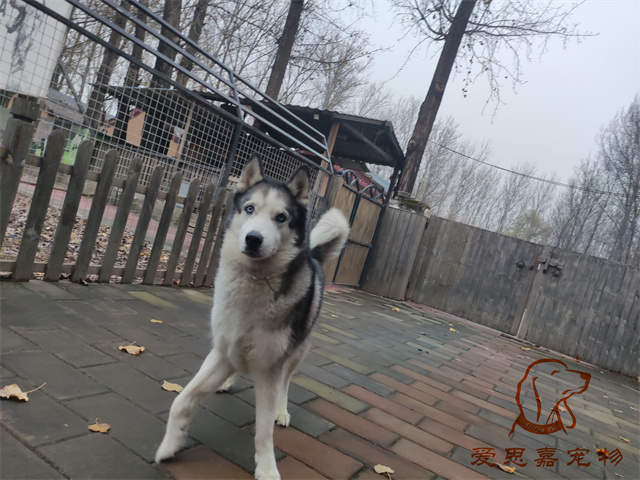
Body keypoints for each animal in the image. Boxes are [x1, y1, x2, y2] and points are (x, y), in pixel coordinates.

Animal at [155, 154, 350, 479]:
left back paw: (282, 410)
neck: (253, 285)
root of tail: (313, 256)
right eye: (249, 209)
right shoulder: (221, 351)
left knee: (286, 382)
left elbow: (263, 431)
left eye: (281, 217)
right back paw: (228, 380)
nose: (253, 239)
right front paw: (170, 445)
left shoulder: (270, 369)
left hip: (296, 351)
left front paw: (268, 469)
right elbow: (181, 400)